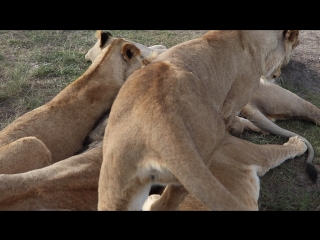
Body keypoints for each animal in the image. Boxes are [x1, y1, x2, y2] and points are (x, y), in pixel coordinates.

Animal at [97, 30, 300, 210]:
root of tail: (158, 124)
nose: (278, 74)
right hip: (197, 162)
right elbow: (235, 122)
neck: (245, 37)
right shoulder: (231, 105)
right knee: (163, 205)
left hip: (116, 184)